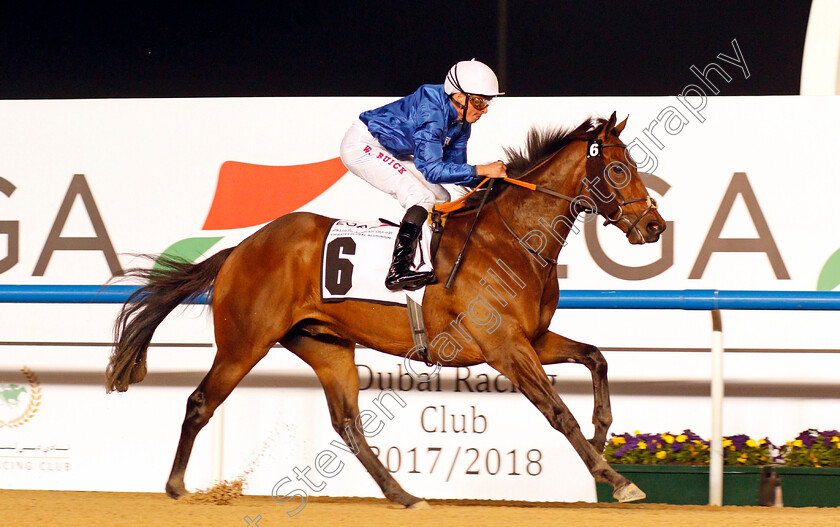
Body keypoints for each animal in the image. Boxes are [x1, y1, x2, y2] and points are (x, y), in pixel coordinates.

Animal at [108, 111, 668, 508]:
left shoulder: (531, 338)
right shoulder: (504, 346)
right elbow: (557, 411)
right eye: (618, 168)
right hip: (244, 342)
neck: (510, 239)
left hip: (326, 345)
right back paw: (177, 487)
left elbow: (596, 356)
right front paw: (614, 478)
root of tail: (241, 249)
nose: (654, 226)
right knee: (200, 401)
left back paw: (403, 494)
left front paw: (602, 430)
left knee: (349, 425)